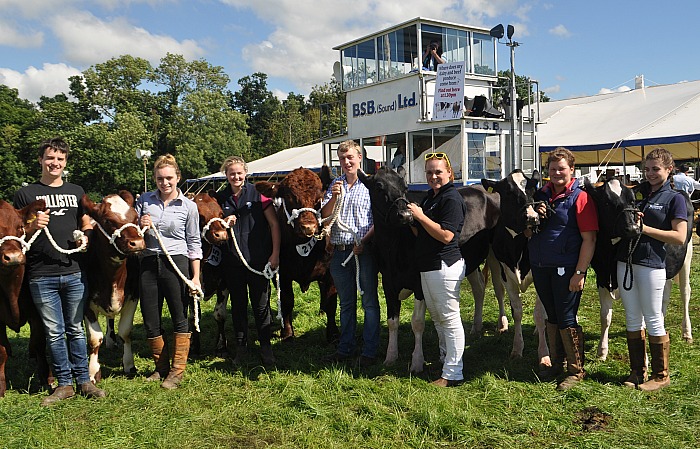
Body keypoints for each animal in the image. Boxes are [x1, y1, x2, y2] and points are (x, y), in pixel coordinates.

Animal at [0, 198, 50, 398]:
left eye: (20, 227)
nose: (13, 257)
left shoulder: (37, 312)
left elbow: (39, 343)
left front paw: (47, 378)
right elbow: (2, 351)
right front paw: (1, 386)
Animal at [81, 190, 146, 382]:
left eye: (135, 217)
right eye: (107, 220)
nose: (137, 243)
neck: (113, 278)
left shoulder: (133, 296)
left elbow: (125, 331)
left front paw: (129, 365)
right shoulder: (86, 303)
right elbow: (95, 338)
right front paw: (93, 371)